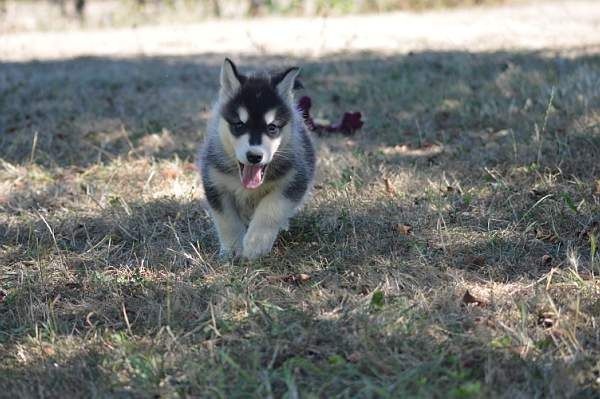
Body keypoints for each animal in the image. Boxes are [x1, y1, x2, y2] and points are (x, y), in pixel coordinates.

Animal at [199, 57, 316, 260]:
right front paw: (232, 249)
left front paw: (256, 244)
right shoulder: (214, 183)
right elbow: (226, 219)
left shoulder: (294, 180)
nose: (254, 156)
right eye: (239, 125)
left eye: (272, 127)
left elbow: (271, 209)